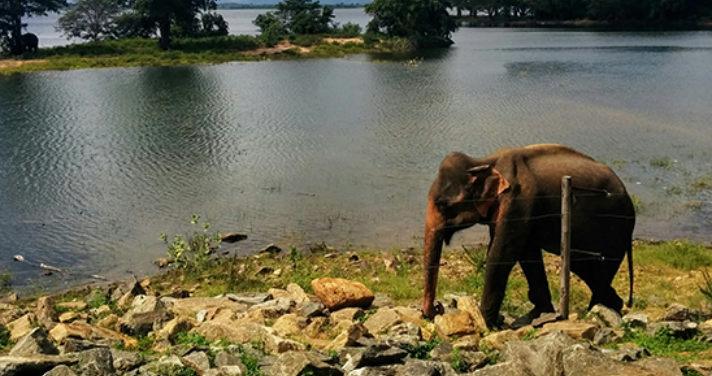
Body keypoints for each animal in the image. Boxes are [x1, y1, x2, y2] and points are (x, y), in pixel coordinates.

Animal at [422, 144, 636, 328]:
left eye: (442, 204)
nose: (437, 308)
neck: (484, 161)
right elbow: (527, 253)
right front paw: (537, 315)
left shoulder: (518, 200)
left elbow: (502, 254)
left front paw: (486, 322)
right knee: (585, 268)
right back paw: (614, 304)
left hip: (617, 228)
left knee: (600, 271)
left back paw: (598, 310)